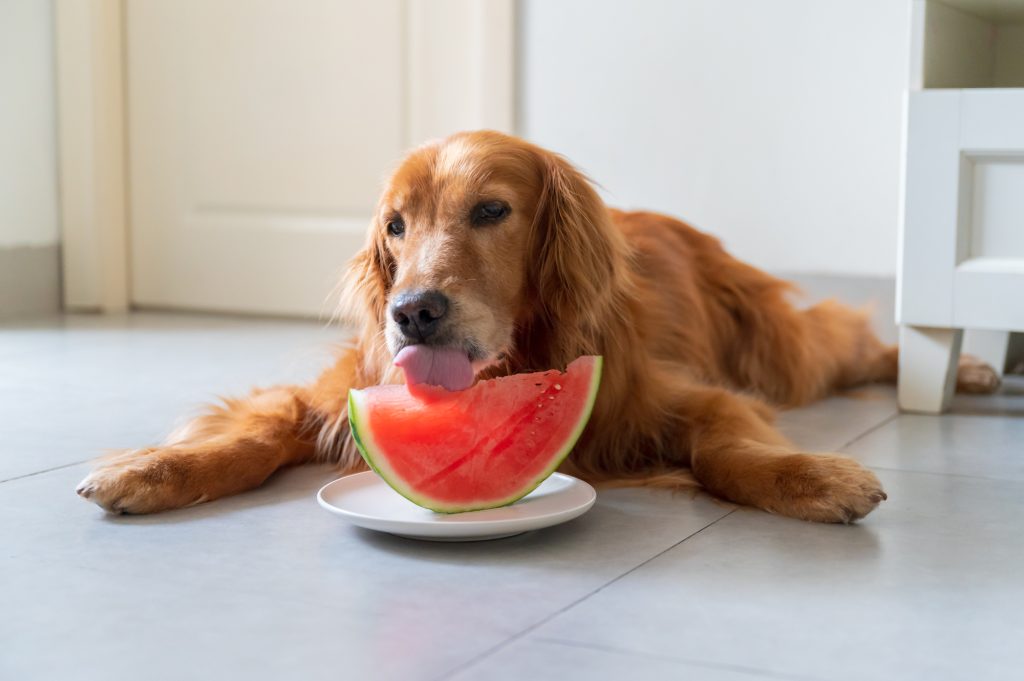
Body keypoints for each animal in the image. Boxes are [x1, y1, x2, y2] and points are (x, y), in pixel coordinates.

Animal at [75, 130, 995, 520]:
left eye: (491, 210)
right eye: (395, 226)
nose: (413, 312)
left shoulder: (683, 396)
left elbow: (727, 447)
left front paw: (808, 476)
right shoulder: (334, 393)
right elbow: (251, 434)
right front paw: (153, 467)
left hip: (777, 344)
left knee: (852, 339)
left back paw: (964, 369)